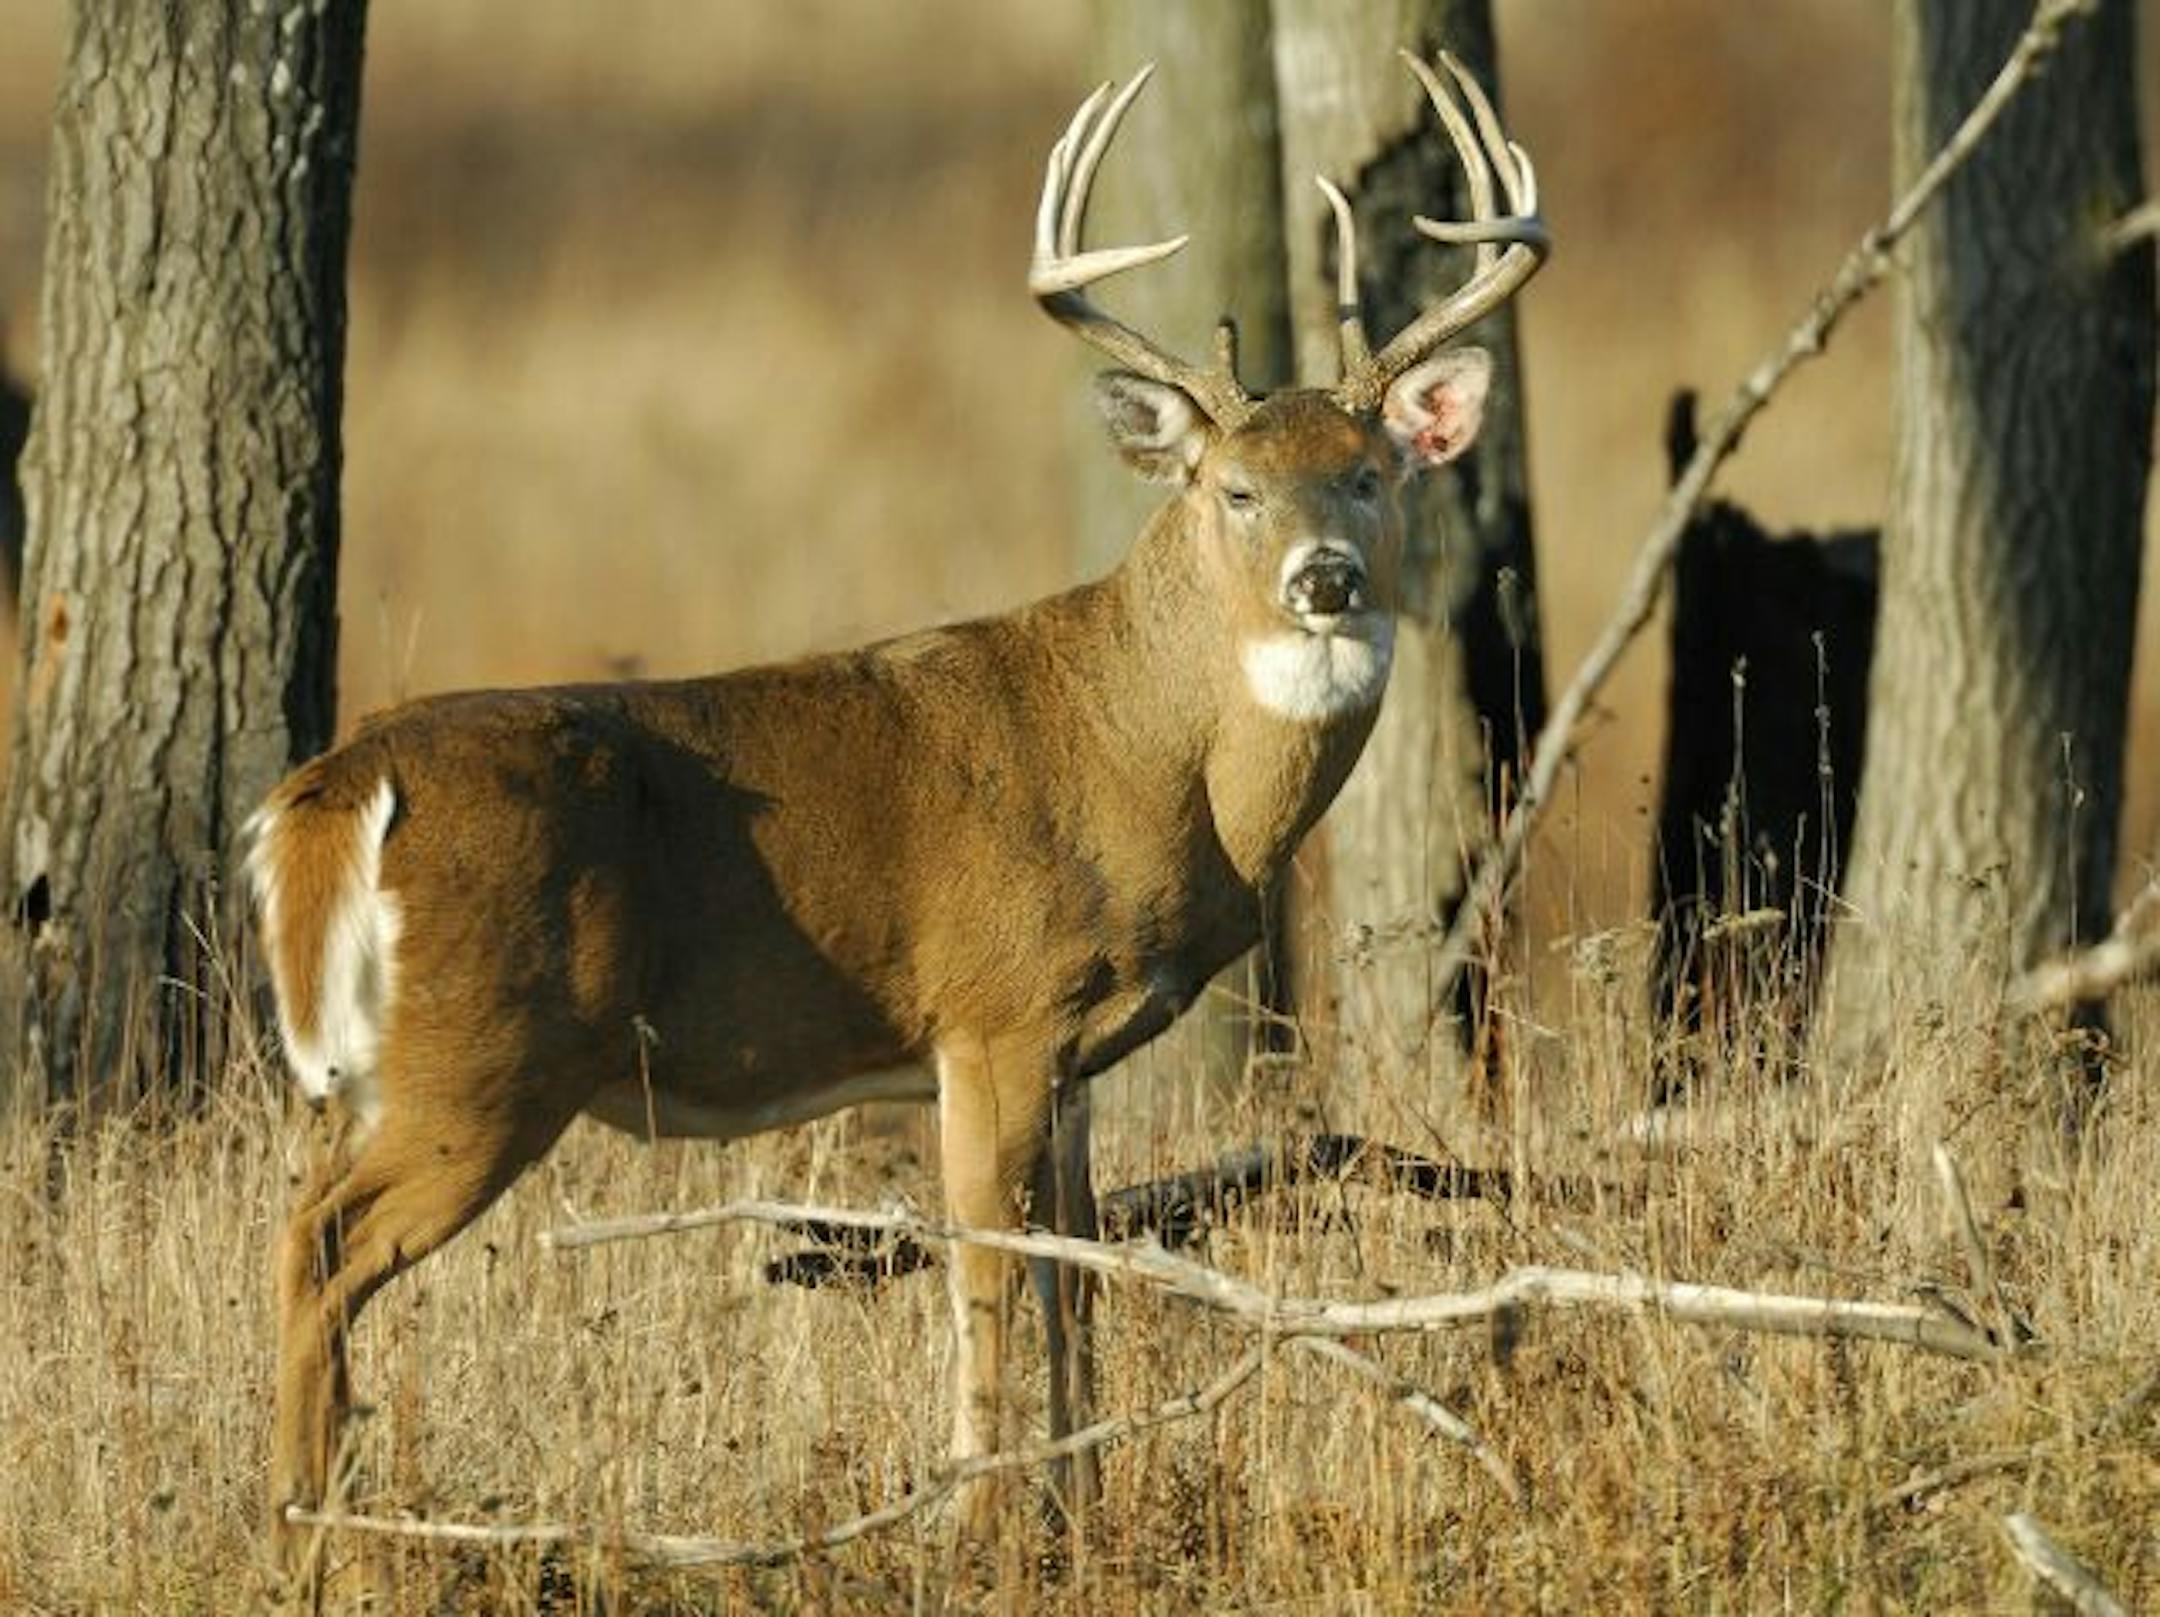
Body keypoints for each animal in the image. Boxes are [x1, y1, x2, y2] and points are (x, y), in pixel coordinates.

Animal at [248, 50, 1545, 1562]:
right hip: (484, 1056)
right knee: (318, 1245)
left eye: (1370, 472)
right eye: (1233, 489)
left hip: (400, 1068)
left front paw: (1078, 1513)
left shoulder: (1077, 1051)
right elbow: (982, 1267)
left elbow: (1074, 1274)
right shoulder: (990, 1012)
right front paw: (977, 1522)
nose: (1325, 577)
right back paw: (300, 1527)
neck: (1148, 749)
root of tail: (340, 786)